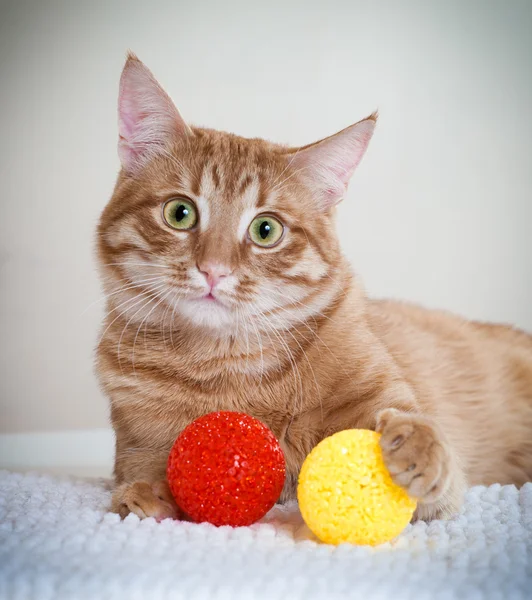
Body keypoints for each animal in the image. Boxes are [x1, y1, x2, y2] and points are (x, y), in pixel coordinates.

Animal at [96, 56, 532, 524]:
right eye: (180, 213)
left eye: (266, 230)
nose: (213, 270)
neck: (224, 369)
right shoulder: (137, 448)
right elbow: (146, 474)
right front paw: (150, 494)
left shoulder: (388, 405)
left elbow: (422, 445)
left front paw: (411, 444)